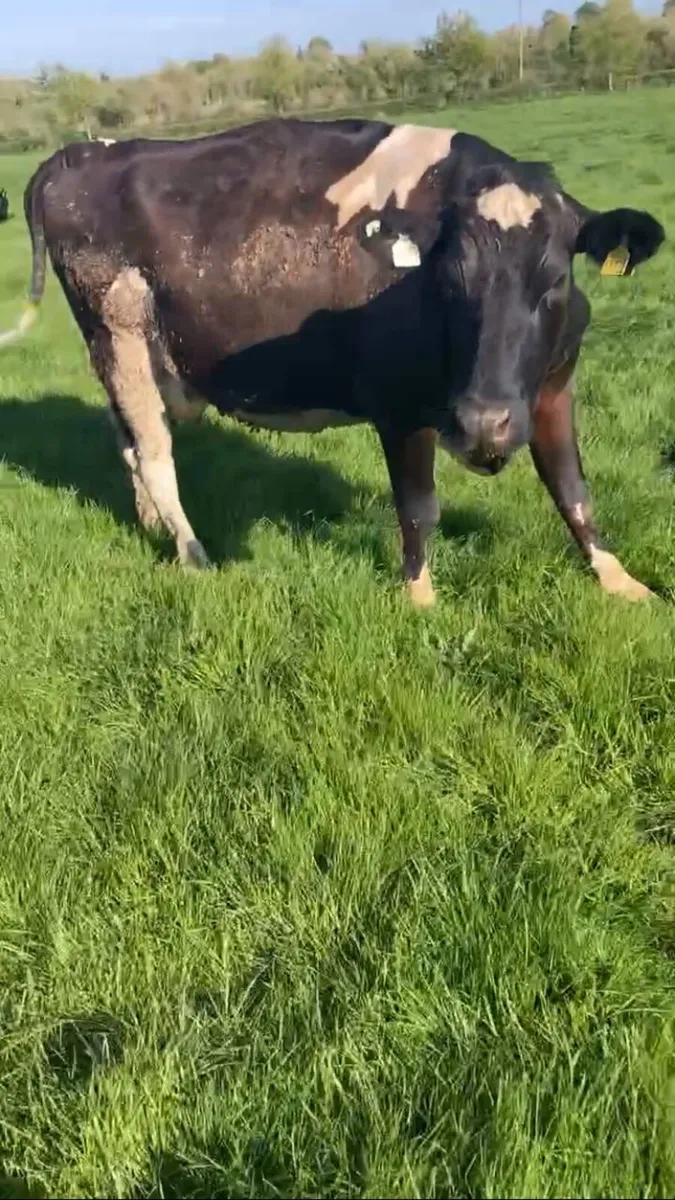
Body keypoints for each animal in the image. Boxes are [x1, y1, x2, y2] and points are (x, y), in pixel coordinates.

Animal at [0, 119, 665, 605]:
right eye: (451, 282)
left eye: (554, 282)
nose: (483, 425)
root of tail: (82, 152)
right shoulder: (399, 406)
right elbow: (418, 508)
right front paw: (421, 601)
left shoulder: (553, 389)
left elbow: (571, 488)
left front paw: (620, 580)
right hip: (121, 335)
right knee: (155, 453)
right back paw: (192, 554)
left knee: (129, 443)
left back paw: (149, 526)